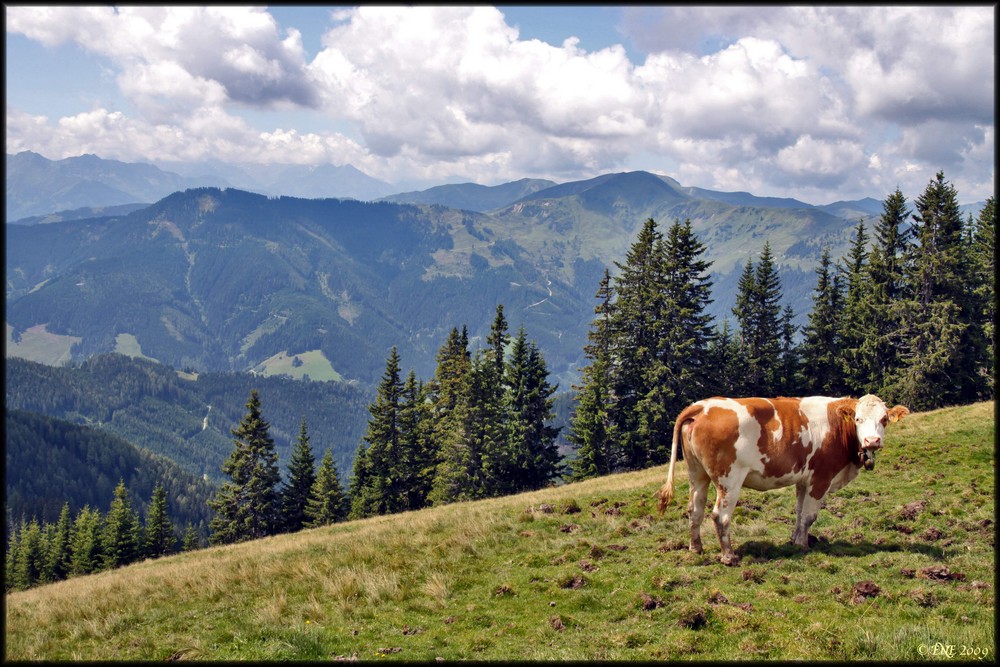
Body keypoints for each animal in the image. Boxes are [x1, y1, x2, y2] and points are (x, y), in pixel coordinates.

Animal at [660, 394, 912, 568]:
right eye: (858, 419)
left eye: (884, 419)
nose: (872, 441)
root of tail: (703, 406)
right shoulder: (821, 477)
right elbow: (810, 516)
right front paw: (803, 545)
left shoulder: (803, 479)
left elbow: (799, 513)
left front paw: (795, 540)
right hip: (730, 478)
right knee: (720, 516)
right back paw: (729, 556)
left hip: (697, 473)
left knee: (695, 510)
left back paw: (696, 548)